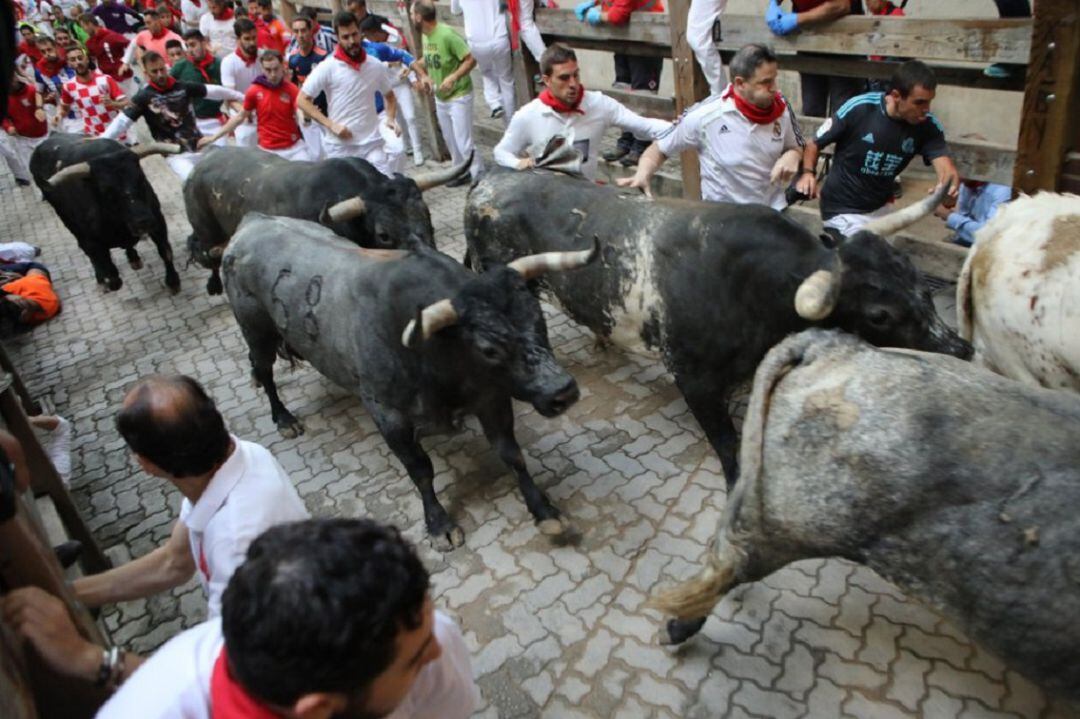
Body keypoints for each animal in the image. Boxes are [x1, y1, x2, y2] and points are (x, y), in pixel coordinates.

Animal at [225, 212, 600, 548]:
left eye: (539, 318)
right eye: (488, 348)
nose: (561, 391)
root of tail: (251, 222)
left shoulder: (491, 397)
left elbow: (511, 454)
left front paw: (544, 510)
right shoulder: (390, 417)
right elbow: (421, 470)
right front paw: (439, 525)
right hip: (256, 332)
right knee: (264, 372)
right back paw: (283, 418)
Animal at [468, 169, 976, 487]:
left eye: (917, 281)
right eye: (879, 315)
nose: (962, 350)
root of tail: (491, 177)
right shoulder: (696, 381)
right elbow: (728, 447)